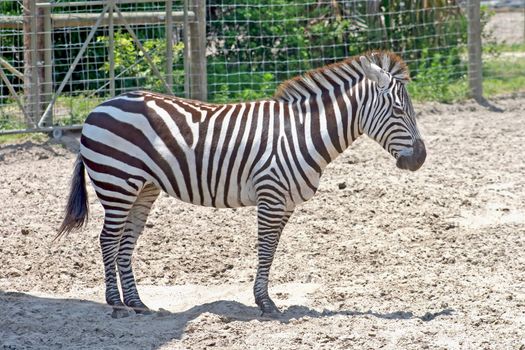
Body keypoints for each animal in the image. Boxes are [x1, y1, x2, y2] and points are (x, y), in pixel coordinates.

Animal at [57, 51, 426, 318]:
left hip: (142, 188)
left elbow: (271, 251)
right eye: (398, 110)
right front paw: (266, 304)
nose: (421, 159)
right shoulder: (271, 196)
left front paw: (265, 299)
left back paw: (136, 303)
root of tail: (99, 107)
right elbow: (265, 249)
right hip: (116, 181)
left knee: (126, 242)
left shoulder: (285, 202)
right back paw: (115, 304)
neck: (303, 134)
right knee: (108, 240)